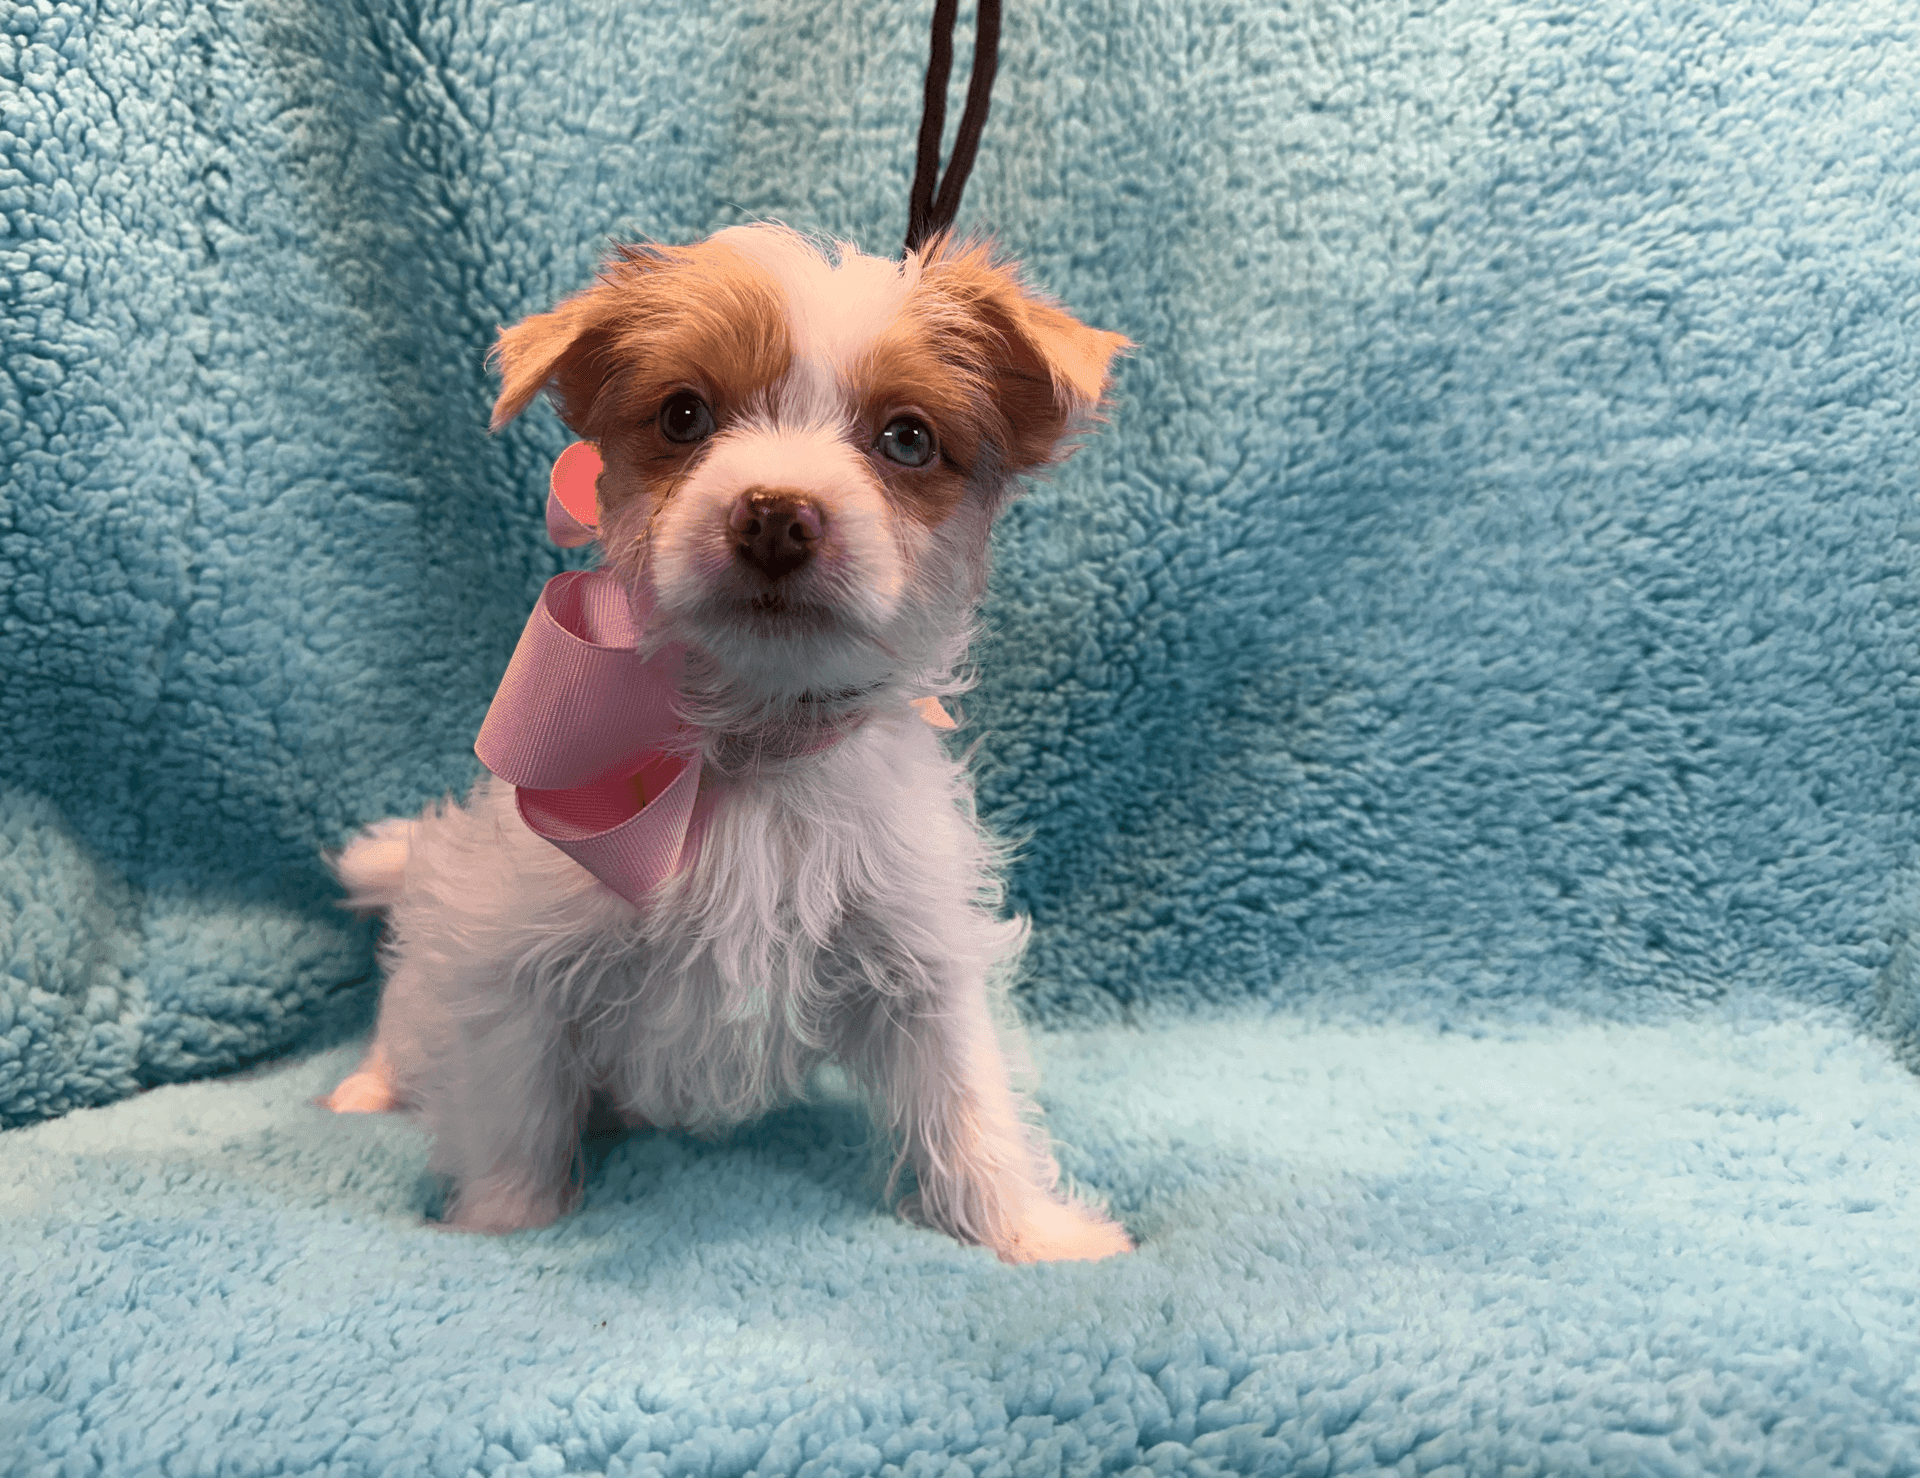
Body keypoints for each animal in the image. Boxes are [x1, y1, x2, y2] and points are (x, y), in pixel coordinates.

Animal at [328, 224, 1128, 1259]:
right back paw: (369, 1087)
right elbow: (515, 1114)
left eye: (908, 438)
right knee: (410, 1022)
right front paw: (505, 1224)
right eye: (682, 415)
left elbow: (968, 1100)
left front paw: (1030, 1232)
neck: (752, 747)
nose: (777, 515)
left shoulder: (919, 954)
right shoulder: (517, 963)